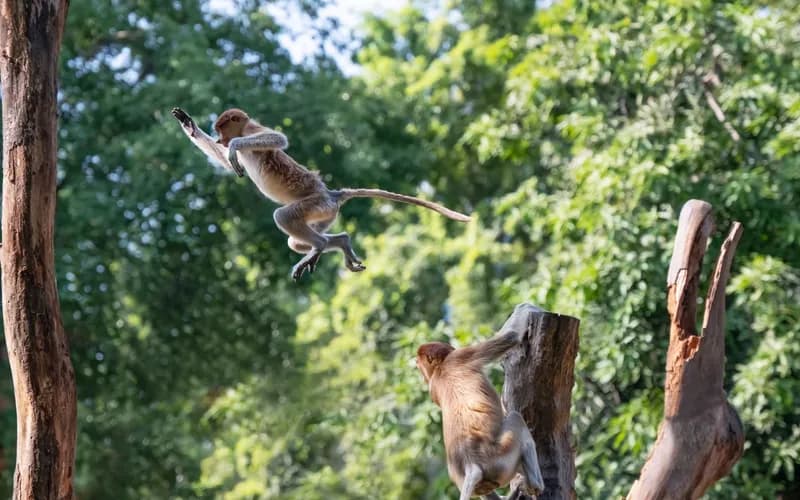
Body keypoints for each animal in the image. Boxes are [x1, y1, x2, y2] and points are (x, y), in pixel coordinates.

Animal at [171, 107, 470, 280]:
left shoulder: (253, 131)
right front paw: (188, 124)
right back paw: (339, 242)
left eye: (222, 127)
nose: (219, 138)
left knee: (284, 217)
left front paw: (233, 145)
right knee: (296, 240)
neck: (244, 129)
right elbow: (225, 162)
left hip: (316, 204)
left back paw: (320, 246)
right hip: (323, 216)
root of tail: (333, 194)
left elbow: (277, 139)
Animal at [416, 303, 545, 500]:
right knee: (516, 419)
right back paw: (534, 486)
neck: (440, 367)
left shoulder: (433, 388)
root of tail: (472, 464)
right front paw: (527, 306)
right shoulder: (462, 355)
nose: (422, 375)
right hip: (503, 455)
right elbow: (511, 336)